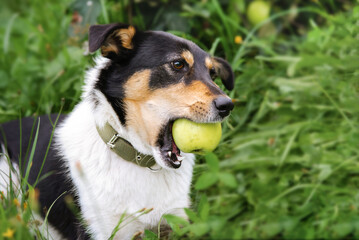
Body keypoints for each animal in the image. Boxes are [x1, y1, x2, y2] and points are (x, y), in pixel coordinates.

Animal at [0, 23, 235, 240]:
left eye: (213, 74)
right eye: (177, 64)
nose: (227, 106)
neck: (139, 160)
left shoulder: (177, 221)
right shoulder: (102, 231)